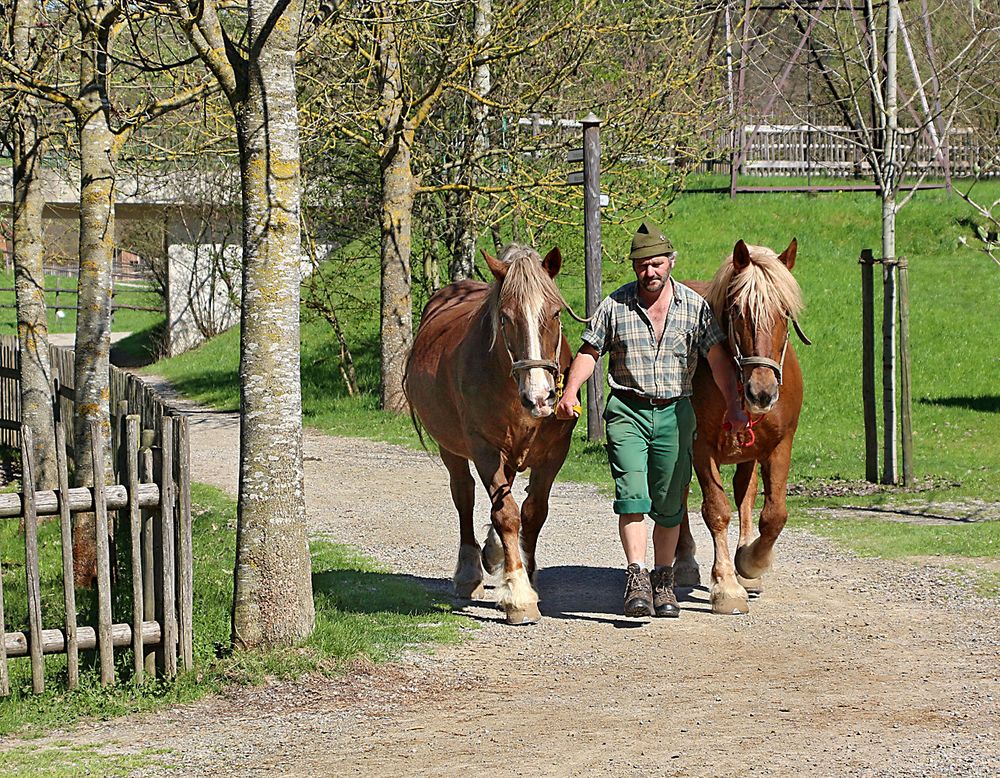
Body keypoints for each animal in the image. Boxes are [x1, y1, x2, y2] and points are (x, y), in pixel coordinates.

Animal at [404, 246, 580, 620]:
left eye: (556, 312)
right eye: (505, 317)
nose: (540, 397)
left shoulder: (555, 452)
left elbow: (533, 512)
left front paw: (525, 573)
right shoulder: (485, 449)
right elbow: (507, 514)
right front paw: (519, 595)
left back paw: (494, 552)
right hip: (452, 448)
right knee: (464, 495)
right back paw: (469, 571)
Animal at [672, 239, 804, 616]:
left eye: (784, 312)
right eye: (737, 310)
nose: (762, 392)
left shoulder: (779, 445)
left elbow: (773, 515)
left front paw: (751, 563)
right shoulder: (700, 447)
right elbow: (716, 511)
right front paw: (727, 586)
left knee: (746, 491)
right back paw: (684, 562)